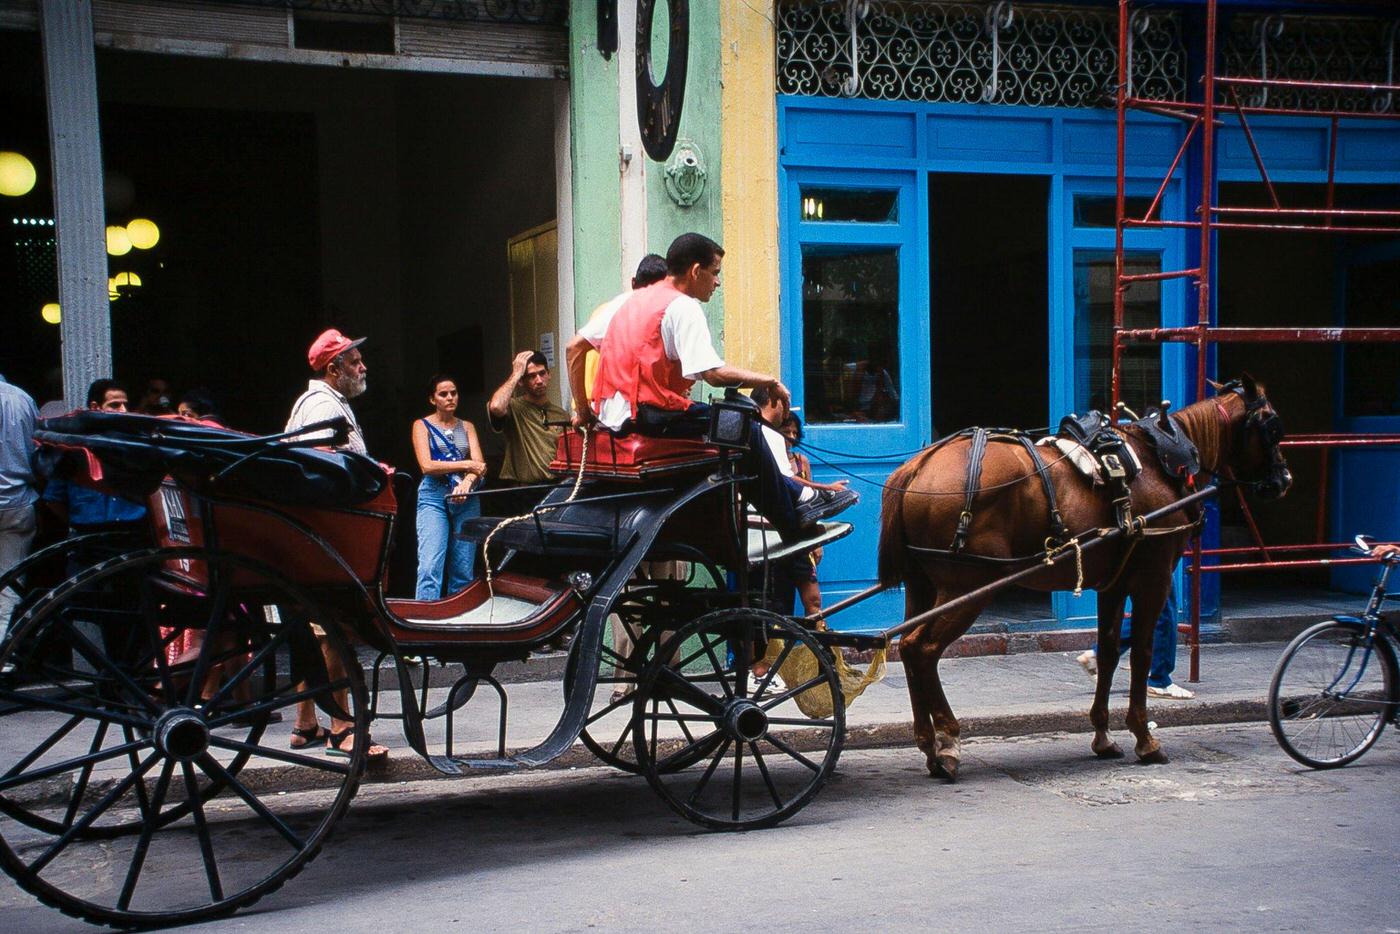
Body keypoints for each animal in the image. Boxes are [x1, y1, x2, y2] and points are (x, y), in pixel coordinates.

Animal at [873, 375, 1288, 778]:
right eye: (1272, 425)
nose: (1284, 478)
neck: (1162, 461)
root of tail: (917, 467)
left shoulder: (1112, 583)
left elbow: (1108, 650)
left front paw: (1103, 734)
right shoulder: (1153, 577)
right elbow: (1142, 651)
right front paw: (1144, 737)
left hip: (923, 586)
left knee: (905, 647)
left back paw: (928, 742)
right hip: (967, 587)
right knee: (923, 648)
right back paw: (948, 741)